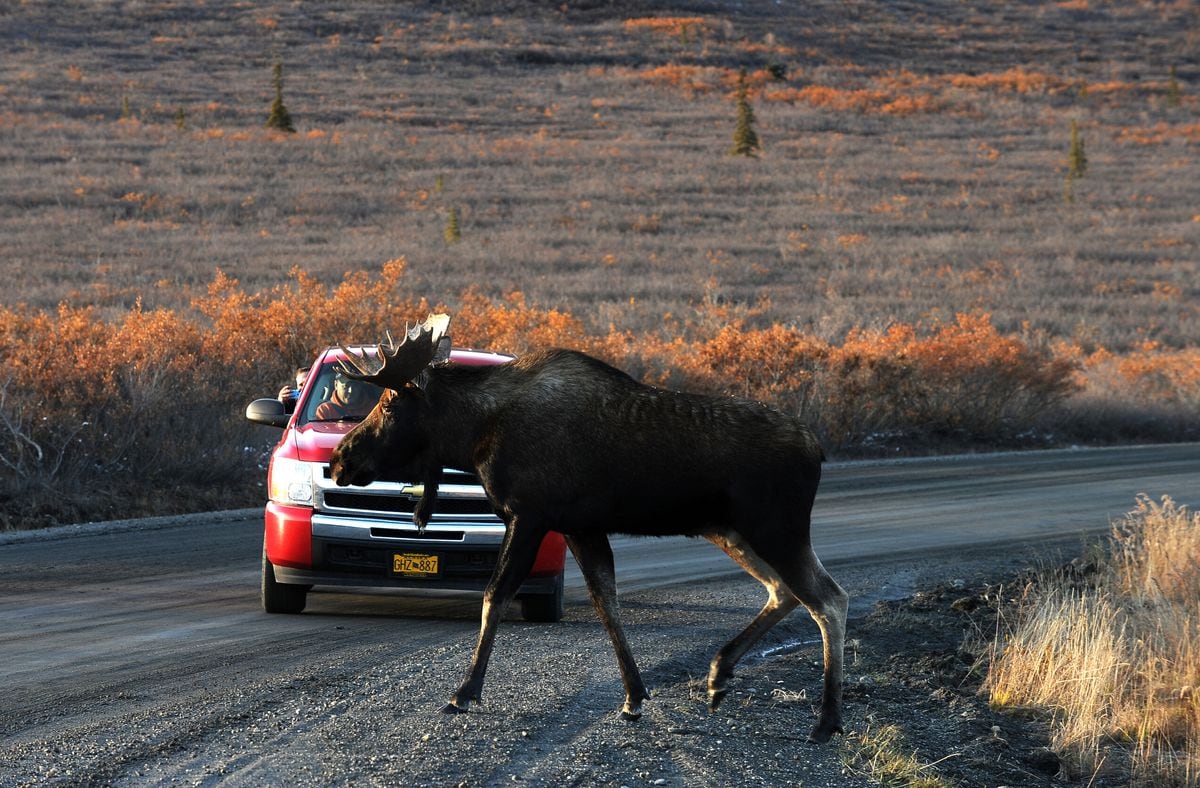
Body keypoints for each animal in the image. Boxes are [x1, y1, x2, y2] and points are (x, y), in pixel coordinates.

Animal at [331, 314, 844, 743]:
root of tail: (817, 448)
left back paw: (827, 720)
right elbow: (606, 603)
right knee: (784, 591)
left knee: (829, 599)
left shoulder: (529, 515)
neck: (473, 435)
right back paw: (719, 675)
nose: (340, 459)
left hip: (776, 528)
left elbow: (495, 595)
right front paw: (634, 696)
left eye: (390, 406)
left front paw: (465, 691)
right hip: (732, 532)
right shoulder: (580, 528)